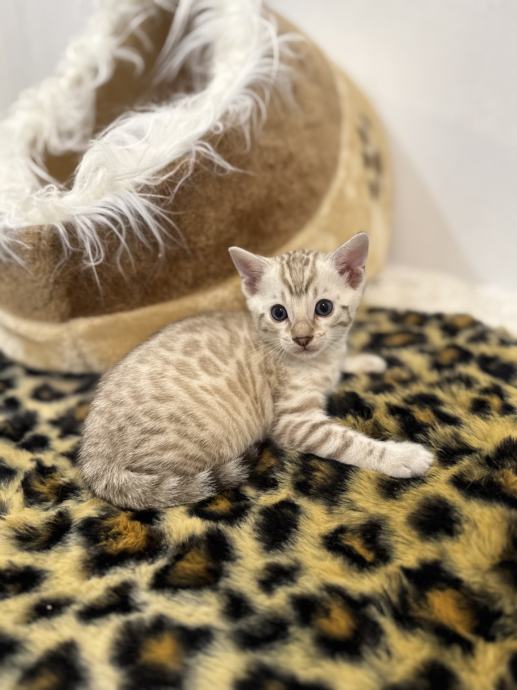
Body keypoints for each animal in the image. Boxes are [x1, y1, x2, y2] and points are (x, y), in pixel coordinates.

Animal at [79, 233, 433, 509]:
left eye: (324, 308)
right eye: (279, 313)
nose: (302, 338)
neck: (314, 362)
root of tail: (93, 454)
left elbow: (341, 356)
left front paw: (364, 360)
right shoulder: (294, 421)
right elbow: (347, 442)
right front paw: (401, 456)